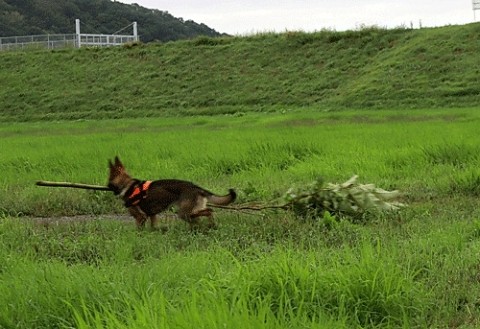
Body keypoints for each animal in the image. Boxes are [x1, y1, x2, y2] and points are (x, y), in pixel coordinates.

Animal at [108, 156, 236, 228]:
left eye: (108, 179)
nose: (106, 186)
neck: (127, 185)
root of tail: (196, 187)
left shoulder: (140, 217)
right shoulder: (152, 215)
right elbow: (153, 228)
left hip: (184, 213)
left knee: (204, 214)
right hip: (191, 211)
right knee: (208, 211)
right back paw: (210, 225)